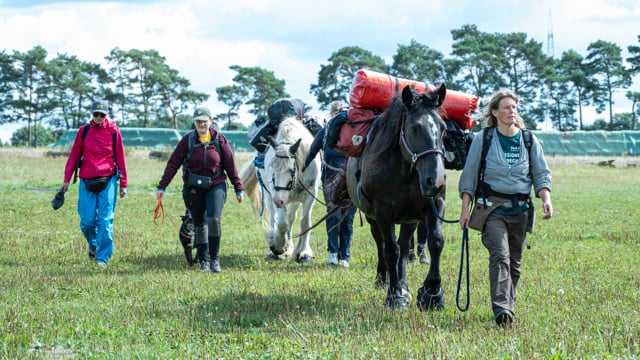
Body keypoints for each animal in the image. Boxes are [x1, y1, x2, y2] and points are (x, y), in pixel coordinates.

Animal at [239, 116, 322, 262]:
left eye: (290, 169)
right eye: (272, 167)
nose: (278, 200)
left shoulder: (311, 193)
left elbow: (305, 222)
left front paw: (304, 252)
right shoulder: (276, 195)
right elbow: (282, 223)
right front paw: (278, 246)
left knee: (292, 218)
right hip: (268, 195)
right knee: (275, 218)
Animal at [348, 83, 448, 310]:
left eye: (443, 128)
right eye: (415, 128)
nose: (435, 181)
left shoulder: (434, 206)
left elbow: (435, 242)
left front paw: (432, 293)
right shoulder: (383, 213)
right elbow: (390, 251)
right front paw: (394, 297)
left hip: (409, 219)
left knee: (404, 247)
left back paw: (403, 285)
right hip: (374, 218)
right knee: (382, 244)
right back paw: (383, 279)